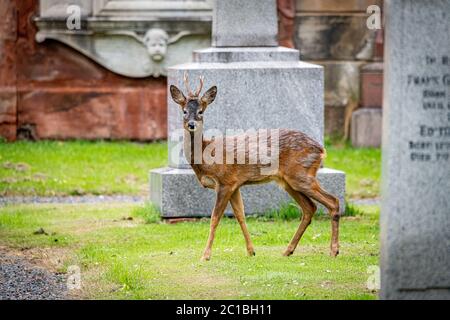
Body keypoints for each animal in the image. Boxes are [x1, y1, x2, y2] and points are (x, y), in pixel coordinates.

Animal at [171, 72, 340, 260]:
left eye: (201, 111)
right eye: (184, 111)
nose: (191, 124)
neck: (207, 157)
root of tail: (321, 149)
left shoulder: (225, 182)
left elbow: (215, 218)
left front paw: (205, 255)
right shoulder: (235, 184)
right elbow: (241, 216)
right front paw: (251, 251)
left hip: (301, 175)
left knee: (333, 201)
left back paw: (333, 250)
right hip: (288, 181)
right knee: (310, 208)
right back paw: (288, 250)